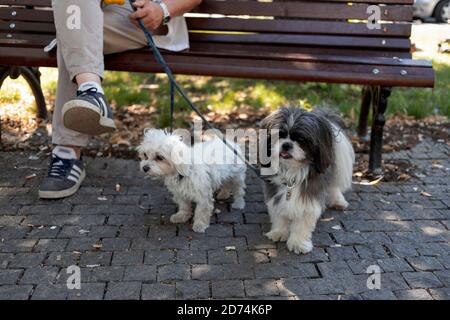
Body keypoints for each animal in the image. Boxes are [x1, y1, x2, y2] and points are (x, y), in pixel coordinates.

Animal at [260, 107, 356, 255]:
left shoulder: (309, 199)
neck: (292, 171)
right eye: (280, 135)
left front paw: (298, 243)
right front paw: (279, 232)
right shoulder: (275, 191)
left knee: (333, 186)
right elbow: (279, 215)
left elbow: (302, 224)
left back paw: (338, 201)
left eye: (301, 139)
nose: (286, 145)